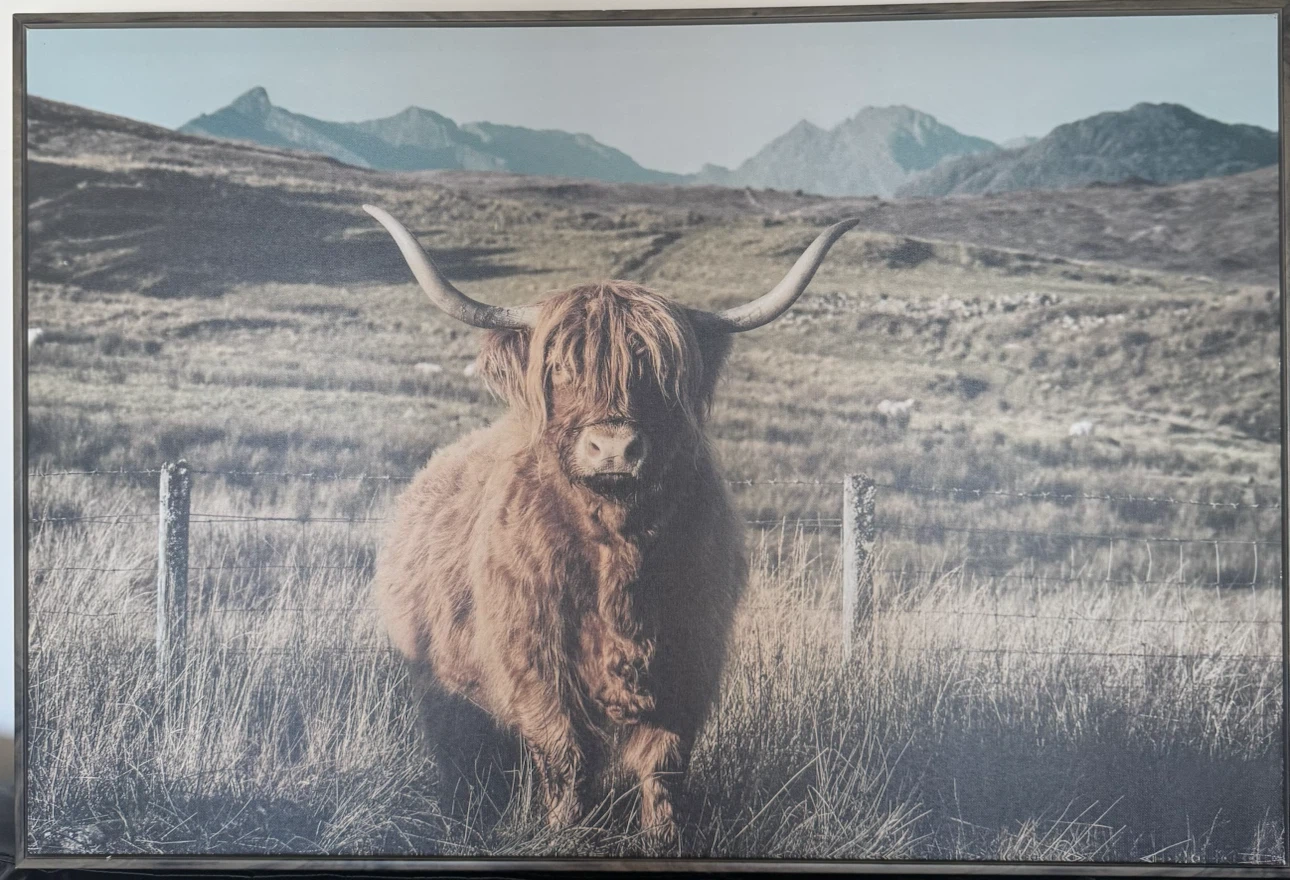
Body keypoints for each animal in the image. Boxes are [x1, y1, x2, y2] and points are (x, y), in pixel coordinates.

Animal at [365, 205, 858, 843]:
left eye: (658, 373)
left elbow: (664, 764)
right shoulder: (534, 663)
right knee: (464, 757)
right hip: (440, 688)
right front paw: (562, 834)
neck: (618, 551)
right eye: (558, 367)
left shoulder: (688, 659)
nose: (614, 449)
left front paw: (664, 838)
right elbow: (564, 757)